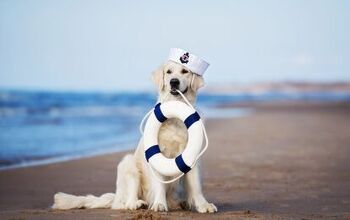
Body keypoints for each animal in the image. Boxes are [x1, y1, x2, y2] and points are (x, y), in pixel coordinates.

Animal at [52, 60, 216, 213]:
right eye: (169, 72)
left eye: (184, 71)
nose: (173, 82)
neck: (175, 115)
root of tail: (116, 196)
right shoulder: (156, 156)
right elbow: (160, 184)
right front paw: (159, 204)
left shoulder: (192, 157)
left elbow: (196, 186)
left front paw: (203, 205)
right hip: (128, 164)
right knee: (124, 202)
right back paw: (137, 204)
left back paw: (179, 203)